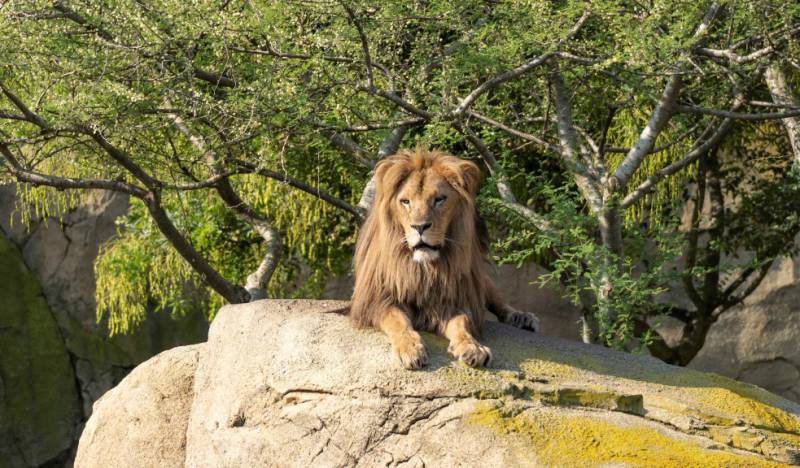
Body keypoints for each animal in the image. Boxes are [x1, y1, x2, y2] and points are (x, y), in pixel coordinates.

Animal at [348, 149, 536, 370]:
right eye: (405, 201)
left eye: (439, 199)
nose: (419, 227)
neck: (424, 268)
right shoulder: (378, 301)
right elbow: (398, 320)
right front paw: (410, 348)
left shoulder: (452, 301)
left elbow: (462, 323)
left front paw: (472, 347)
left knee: (497, 300)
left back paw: (521, 317)